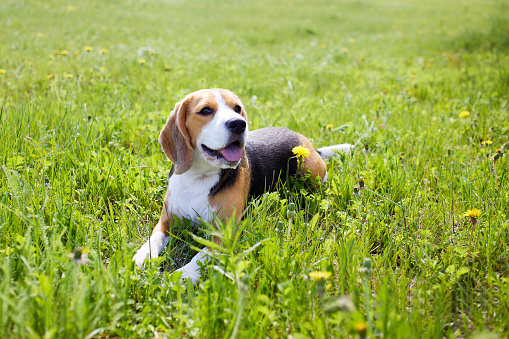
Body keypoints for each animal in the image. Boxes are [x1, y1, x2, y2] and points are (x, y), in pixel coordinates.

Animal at [133, 89, 352, 282]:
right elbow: (154, 239)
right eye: (205, 110)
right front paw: (141, 257)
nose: (239, 124)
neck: (199, 177)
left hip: (308, 168)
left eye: (237, 108)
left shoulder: (224, 234)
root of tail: (309, 146)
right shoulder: (167, 221)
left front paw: (181, 276)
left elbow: (198, 257)